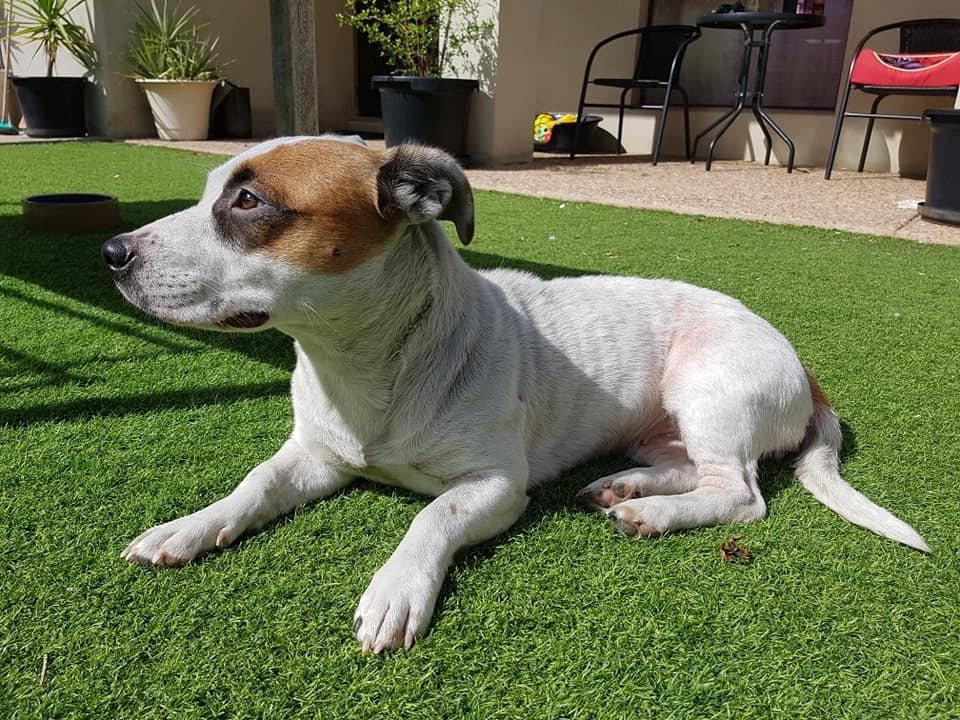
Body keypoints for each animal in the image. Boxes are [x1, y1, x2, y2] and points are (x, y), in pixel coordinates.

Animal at [103, 135, 928, 653]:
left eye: (248, 202)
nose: (112, 251)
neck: (364, 363)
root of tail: (807, 369)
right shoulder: (314, 455)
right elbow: (253, 483)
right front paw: (190, 526)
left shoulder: (496, 486)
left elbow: (431, 516)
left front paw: (397, 589)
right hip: (663, 424)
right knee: (695, 470)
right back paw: (627, 486)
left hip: (707, 388)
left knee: (741, 494)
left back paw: (654, 513)